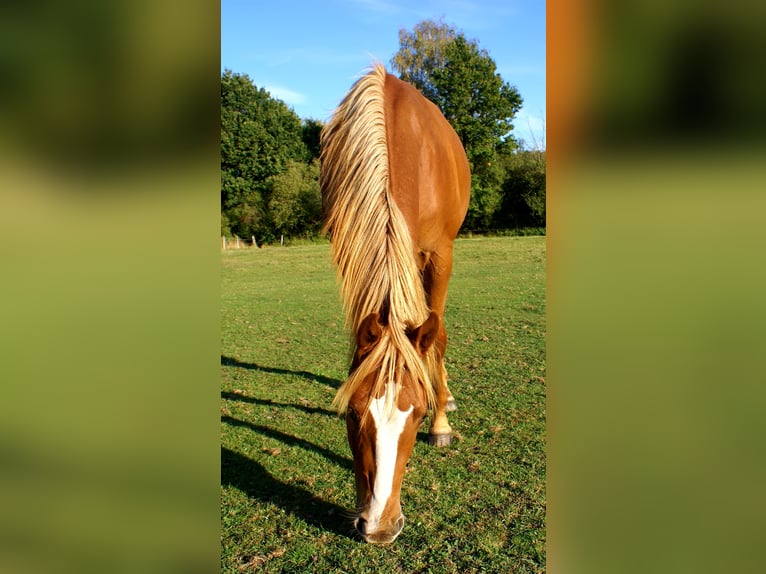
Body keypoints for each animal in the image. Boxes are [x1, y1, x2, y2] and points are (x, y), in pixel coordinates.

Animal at [320, 63, 470, 544]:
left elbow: (435, 336)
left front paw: (441, 424)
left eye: (418, 415)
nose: (380, 527)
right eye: (351, 414)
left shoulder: (441, 255)